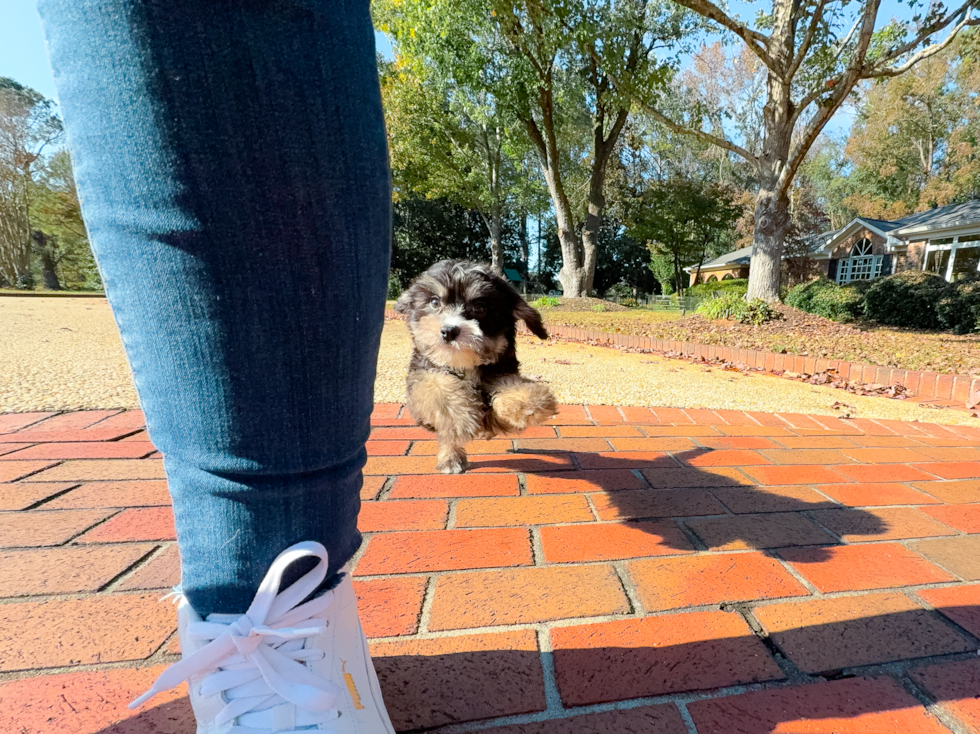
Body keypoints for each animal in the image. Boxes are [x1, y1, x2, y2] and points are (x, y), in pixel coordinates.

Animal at [392, 262, 560, 474]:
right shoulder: (421, 376)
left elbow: (508, 383)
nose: (449, 331)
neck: (463, 364)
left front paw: (527, 401)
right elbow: (437, 386)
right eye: (435, 302)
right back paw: (451, 459)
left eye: (479, 308)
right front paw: (458, 416)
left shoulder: (500, 372)